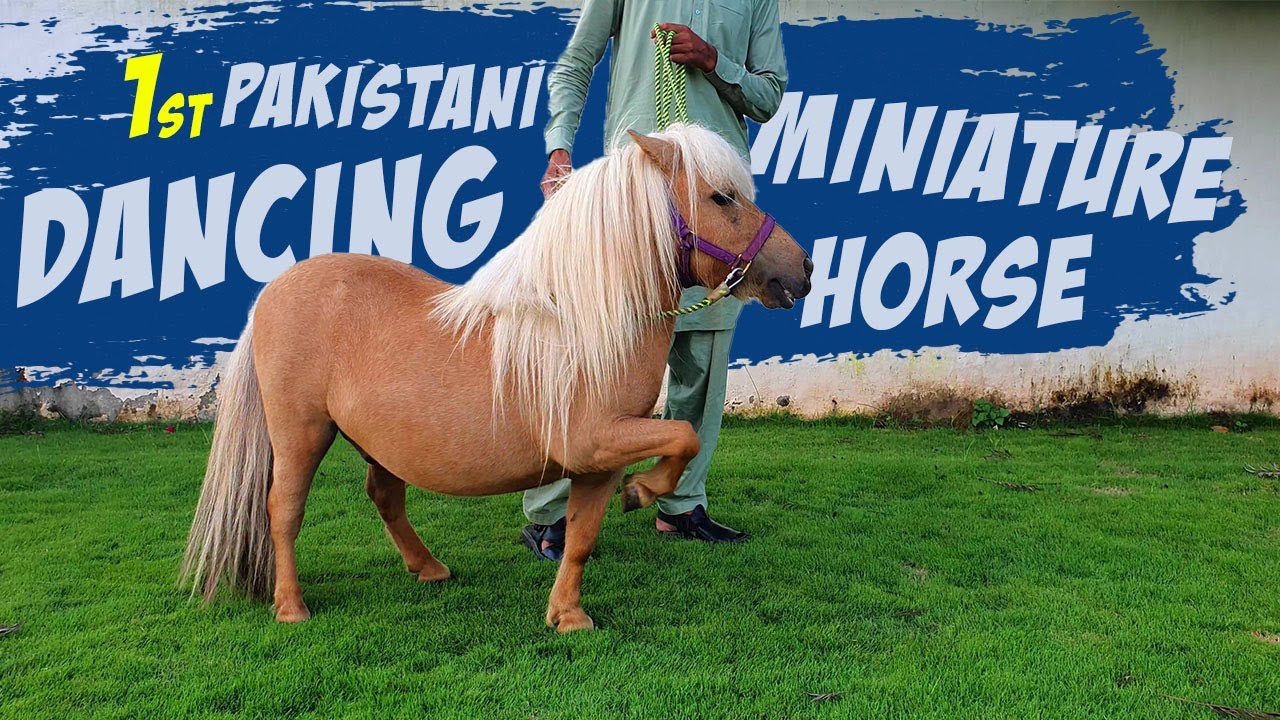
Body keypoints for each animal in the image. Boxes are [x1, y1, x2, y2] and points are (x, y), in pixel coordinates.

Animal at [180, 124, 813, 632]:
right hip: (300, 433)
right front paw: (641, 493)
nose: (802, 268)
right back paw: (291, 607)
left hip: (377, 442)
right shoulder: (595, 441)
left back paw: (429, 568)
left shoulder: (596, 462)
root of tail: (273, 290)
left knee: (384, 497)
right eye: (721, 197)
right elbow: (684, 437)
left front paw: (568, 616)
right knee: (283, 509)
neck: (583, 318)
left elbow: (581, 537)